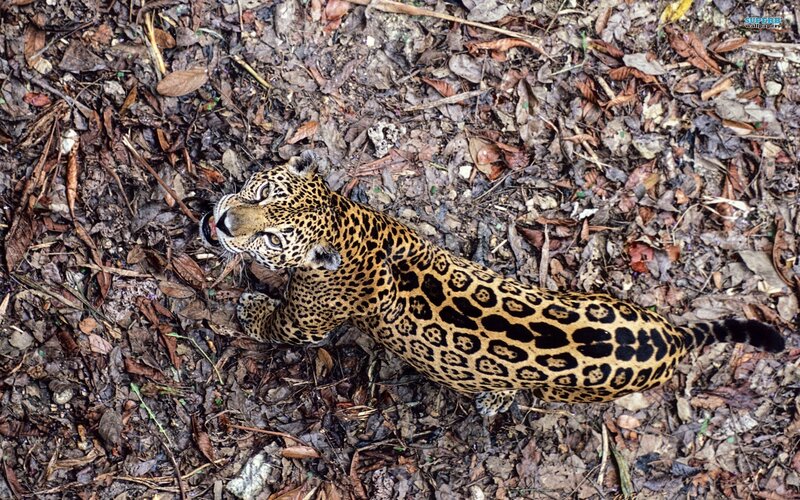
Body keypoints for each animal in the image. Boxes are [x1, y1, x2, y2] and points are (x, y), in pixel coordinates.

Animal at [200, 152, 786, 417]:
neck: (348, 224)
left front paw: (249, 308)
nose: (224, 222)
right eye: (256, 191)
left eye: (272, 236)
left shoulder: (308, 318)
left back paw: (493, 401)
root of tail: (672, 339)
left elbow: (280, 324)